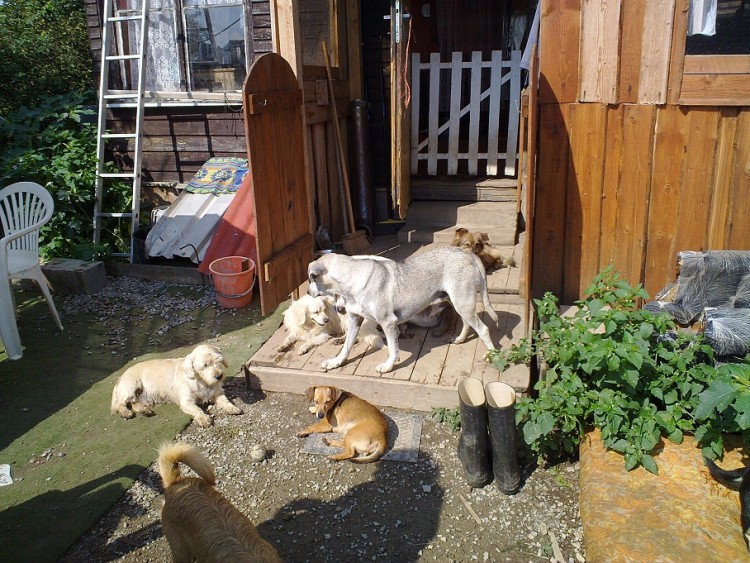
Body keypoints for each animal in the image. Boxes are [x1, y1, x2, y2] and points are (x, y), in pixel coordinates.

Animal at [111, 344, 241, 427]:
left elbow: (225, 401)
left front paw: (232, 407)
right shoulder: (187, 402)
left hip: (141, 396)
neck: (203, 382)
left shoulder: (217, 393)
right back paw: (125, 412)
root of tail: (121, 377)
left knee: (134, 403)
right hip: (131, 387)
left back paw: (145, 410)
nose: (219, 376)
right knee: (120, 404)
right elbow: (197, 409)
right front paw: (203, 418)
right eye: (205, 365)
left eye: (219, 361)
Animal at [307, 246, 498, 373]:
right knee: (467, 323)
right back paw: (460, 339)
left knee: (483, 329)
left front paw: (388, 366)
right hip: (457, 301)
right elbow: (346, 346)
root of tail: (469, 254)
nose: (308, 292)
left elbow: (393, 349)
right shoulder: (355, 320)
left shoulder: (388, 322)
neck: (350, 281)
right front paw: (335, 362)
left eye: (311, 278)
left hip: (462, 302)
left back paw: (492, 354)